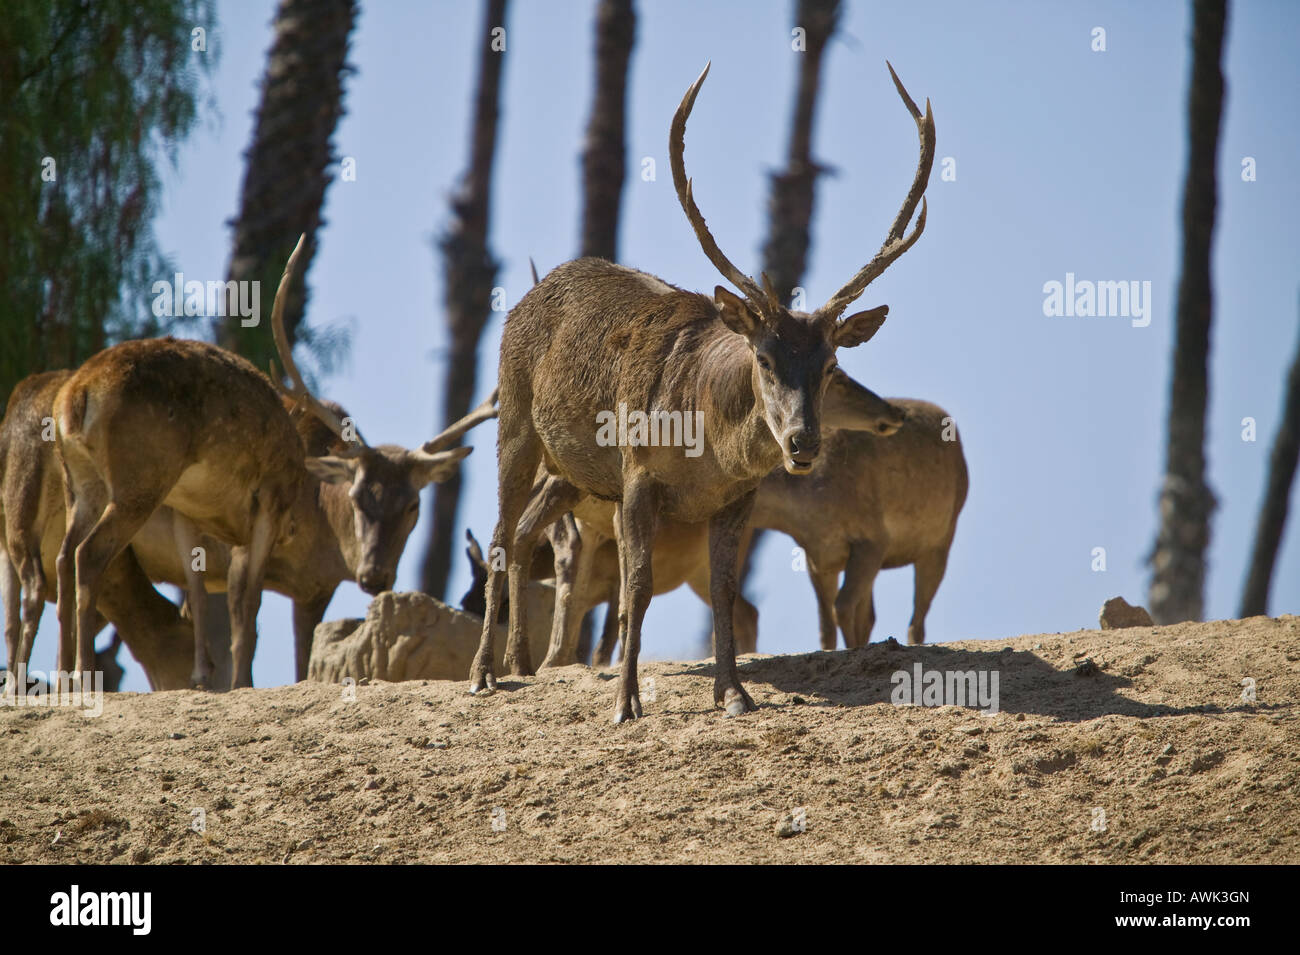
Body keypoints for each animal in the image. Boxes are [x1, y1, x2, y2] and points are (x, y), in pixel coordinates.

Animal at [50, 237, 488, 686]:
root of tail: (76, 396)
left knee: (65, 559)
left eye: (414, 504)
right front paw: (239, 683)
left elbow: (298, 654)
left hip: (81, 485)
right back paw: (82, 671)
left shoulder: (312, 588)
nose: (374, 575)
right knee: (89, 557)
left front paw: (212, 678)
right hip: (139, 479)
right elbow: (248, 612)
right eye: (357, 496)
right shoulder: (260, 512)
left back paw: (63, 670)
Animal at [473, 63, 930, 722]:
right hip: (513, 418)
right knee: (500, 536)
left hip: (571, 472)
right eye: (763, 358)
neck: (707, 446)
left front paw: (734, 693)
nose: (802, 442)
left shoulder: (738, 496)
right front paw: (626, 703)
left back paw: (523, 662)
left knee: (531, 532)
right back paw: (484, 673)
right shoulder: (638, 475)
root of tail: (529, 295)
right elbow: (637, 586)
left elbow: (723, 587)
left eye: (830, 364)